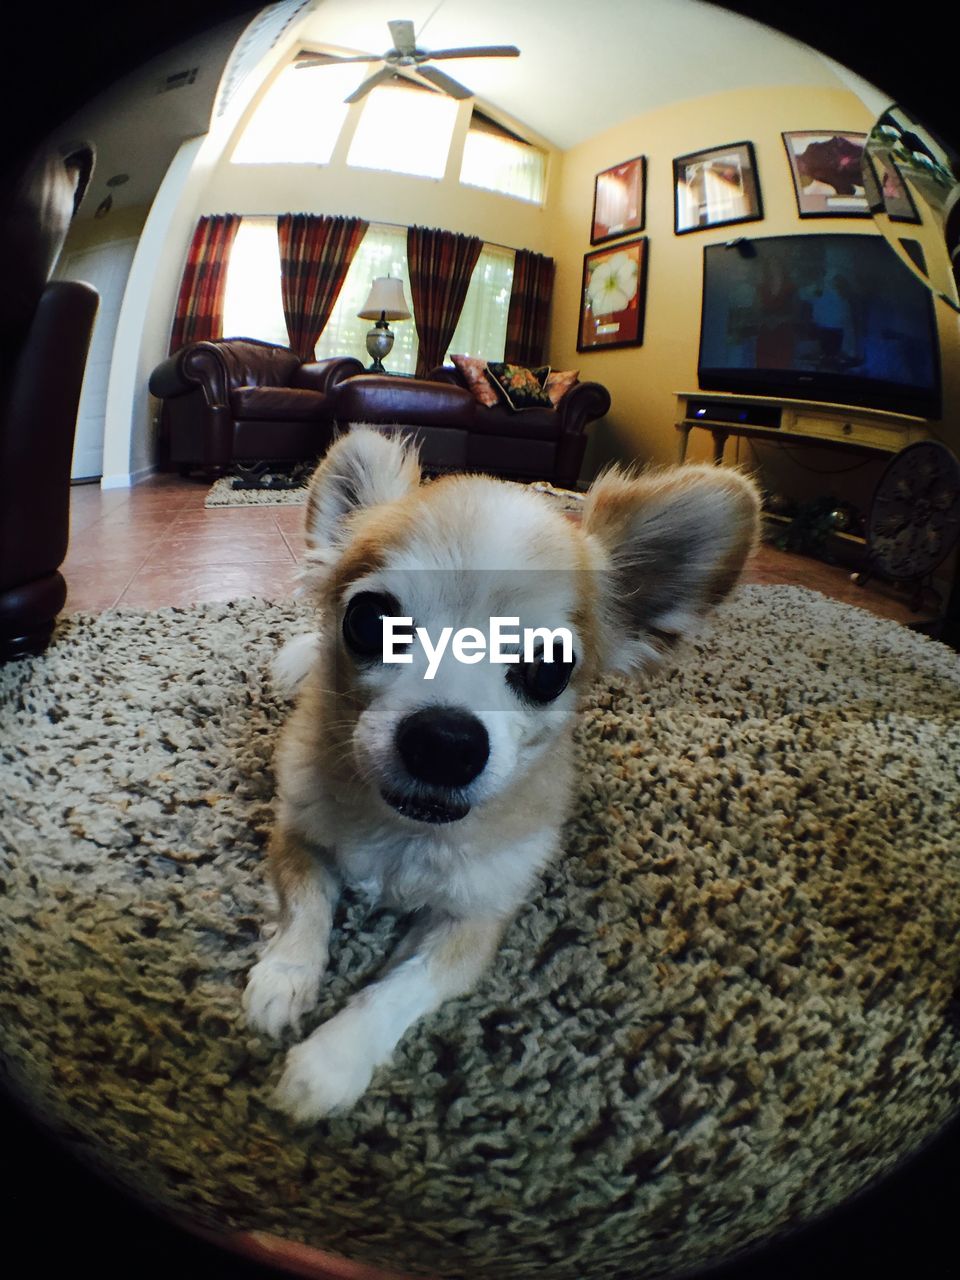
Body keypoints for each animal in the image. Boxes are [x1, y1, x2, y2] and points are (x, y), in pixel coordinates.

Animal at [244, 422, 762, 1121]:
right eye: (368, 622)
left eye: (549, 670)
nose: (445, 741)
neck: (409, 835)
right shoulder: (297, 835)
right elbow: (305, 907)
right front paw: (283, 979)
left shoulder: (474, 925)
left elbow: (399, 989)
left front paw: (329, 1063)